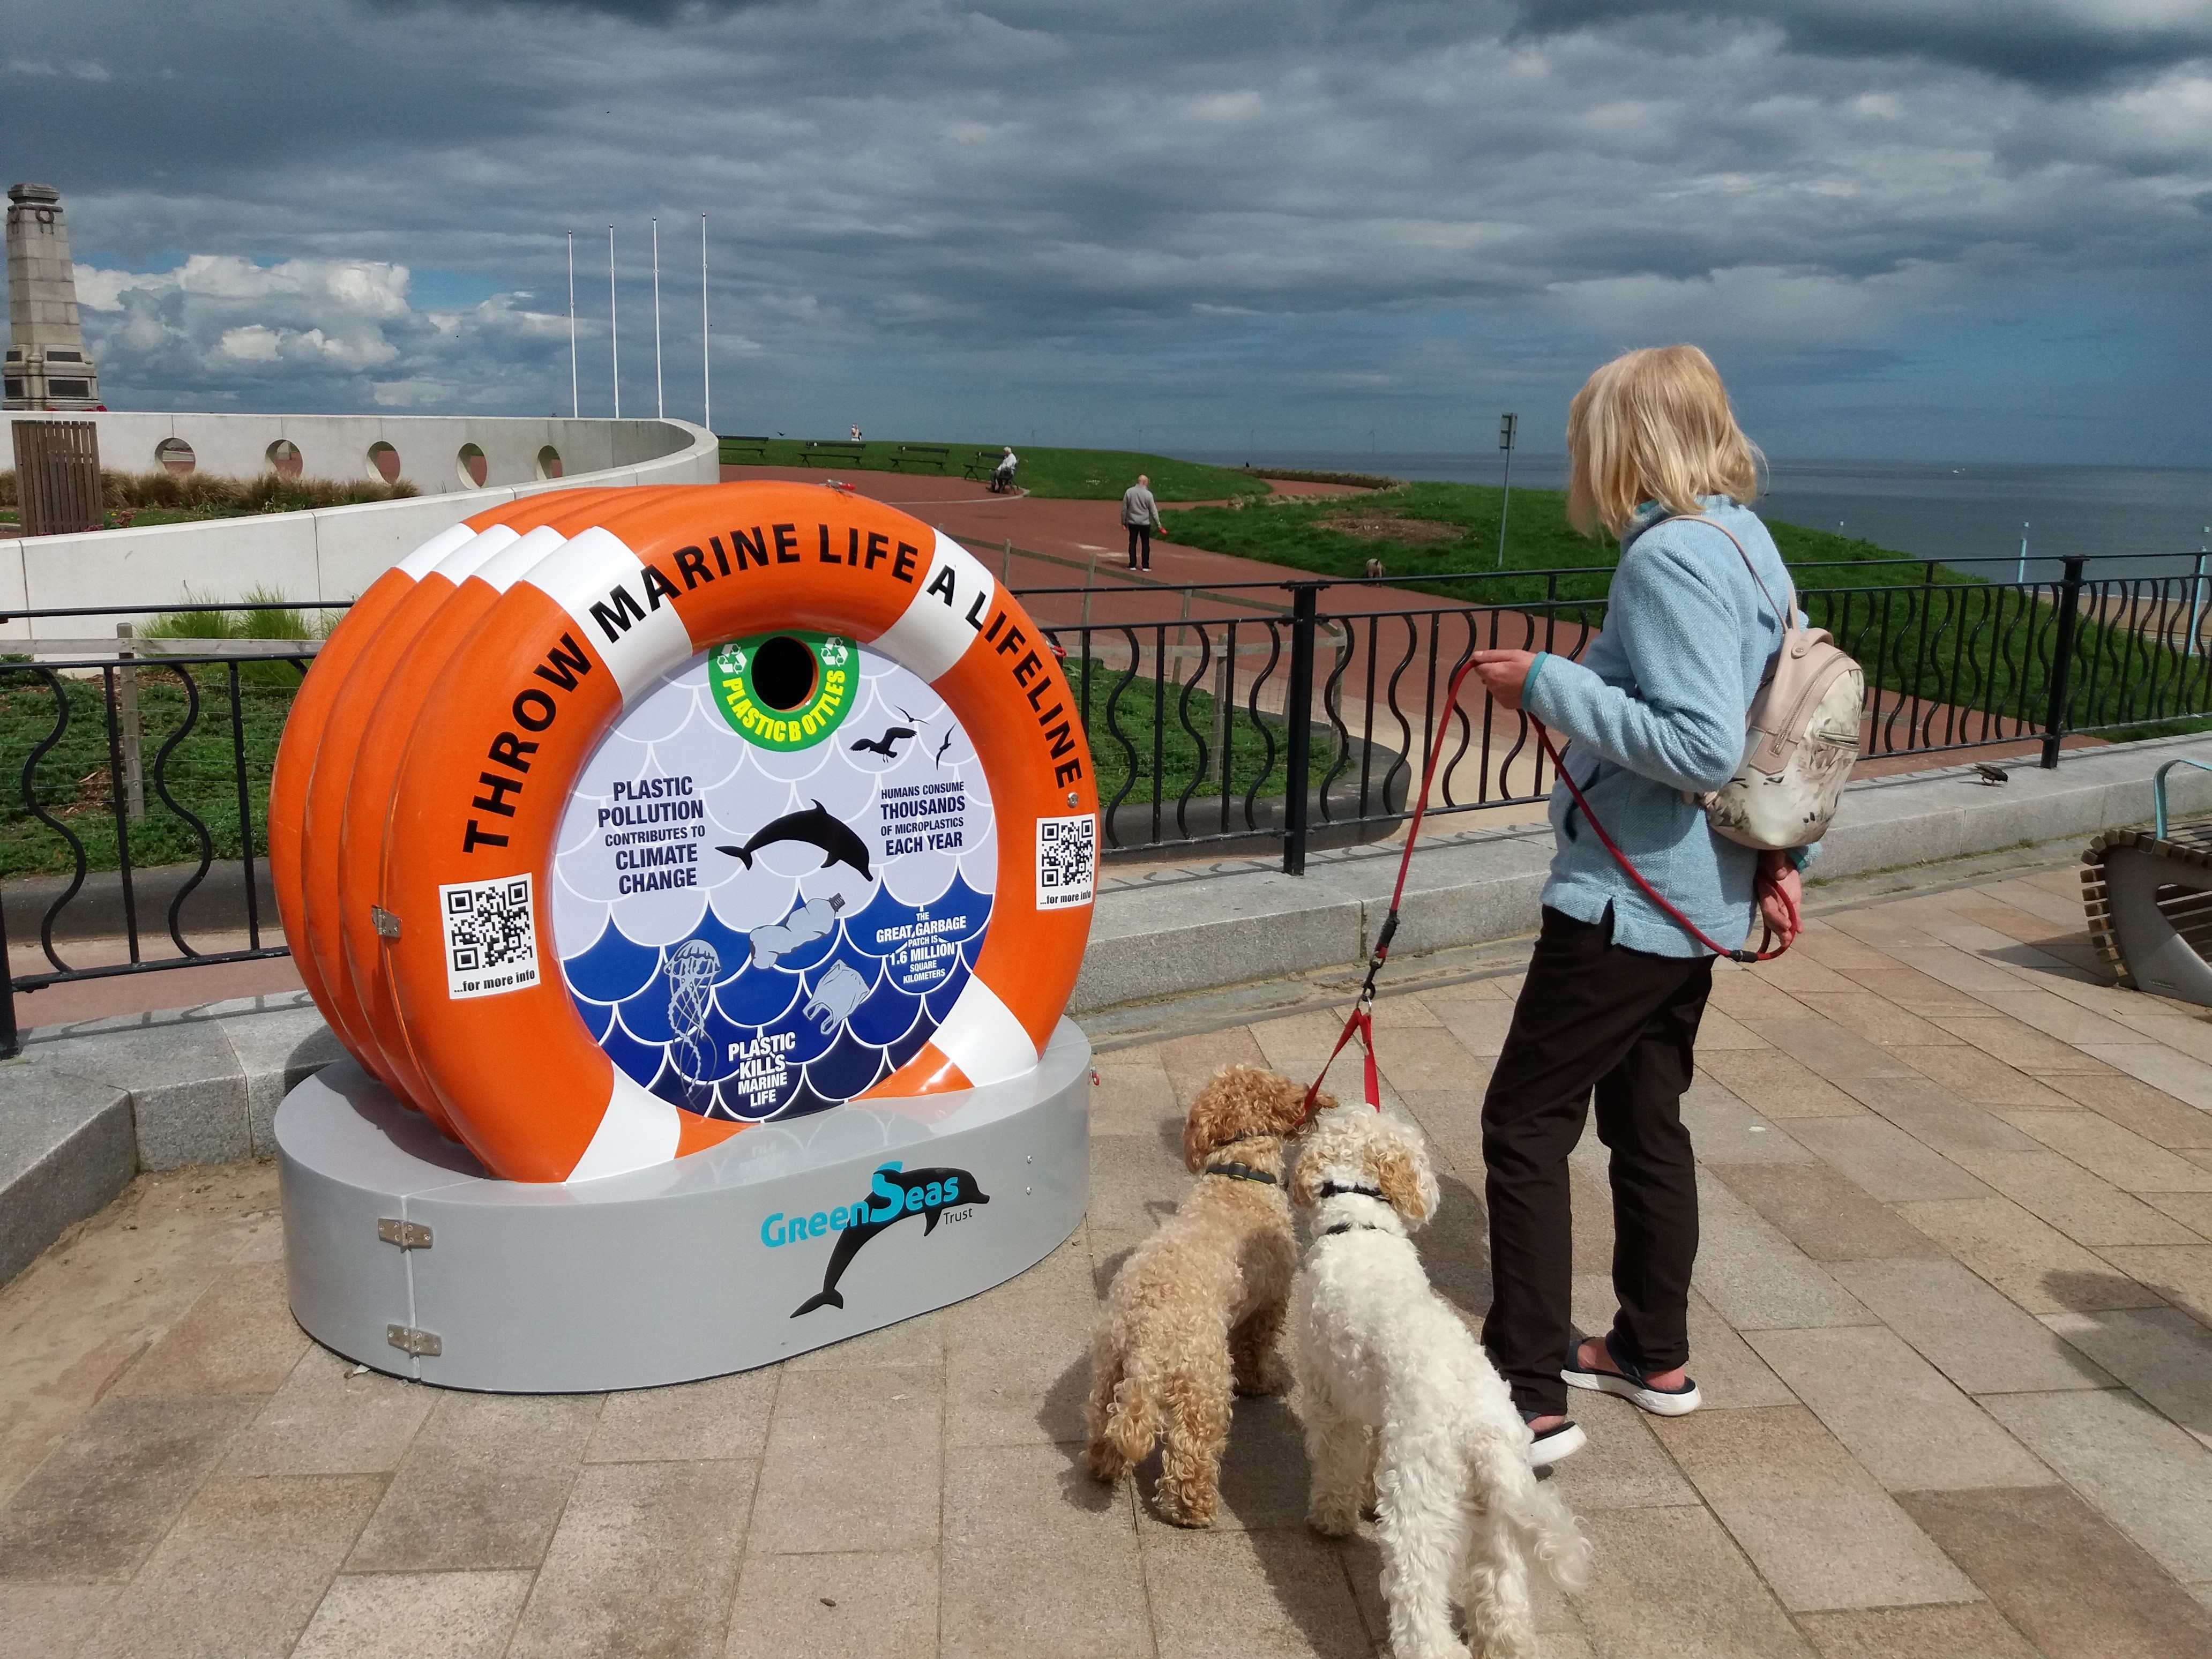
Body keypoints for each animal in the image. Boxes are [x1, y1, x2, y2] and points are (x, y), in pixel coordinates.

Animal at [1075, 1066, 1318, 1530]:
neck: (1240, 1172)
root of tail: (1147, 1333)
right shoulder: (1271, 1300)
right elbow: (1256, 1348)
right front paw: (1262, 1382)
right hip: (1203, 1384)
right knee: (1190, 1451)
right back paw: (1193, 1510)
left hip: (1110, 1366)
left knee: (1104, 1422)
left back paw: (1104, 1467)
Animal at [1291, 1106, 1593, 1659]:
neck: (1359, 1227)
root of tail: (1482, 1435)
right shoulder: (1376, 1405)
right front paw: (1364, 1499)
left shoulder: (1330, 1396)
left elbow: (1338, 1462)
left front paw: (1332, 1517)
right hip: (1497, 1519)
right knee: (1501, 1595)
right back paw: (1507, 1645)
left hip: (1422, 1505)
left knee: (1419, 1602)